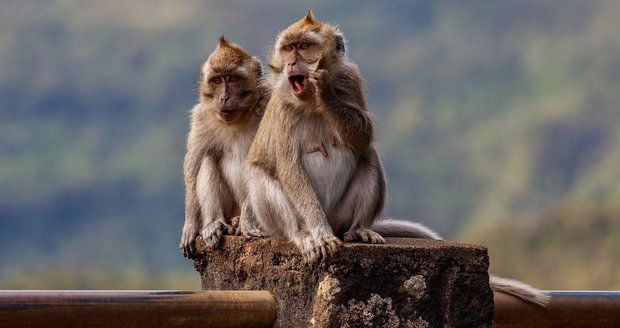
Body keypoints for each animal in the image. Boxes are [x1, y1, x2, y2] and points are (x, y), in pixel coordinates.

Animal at [178, 36, 268, 256]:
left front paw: (247, 220)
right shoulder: (201, 117)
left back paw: (239, 221)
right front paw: (191, 224)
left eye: (233, 79)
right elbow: (193, 162)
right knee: (208, 158)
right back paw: (215, 223)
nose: (224, 97)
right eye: (217, 80)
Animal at [242, 10, 548, 306]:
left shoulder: (350, 80)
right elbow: (289, 167)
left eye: (304, 47)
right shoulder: (282, 105)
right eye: (288, 49)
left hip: (341, 213)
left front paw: (326, 90)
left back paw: (359, 230)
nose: (293, 63)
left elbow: (363, 135)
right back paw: (302, 234)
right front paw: (317, 232)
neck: (308, 101)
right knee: (260, 175)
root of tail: (336, 221)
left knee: (369, 155)